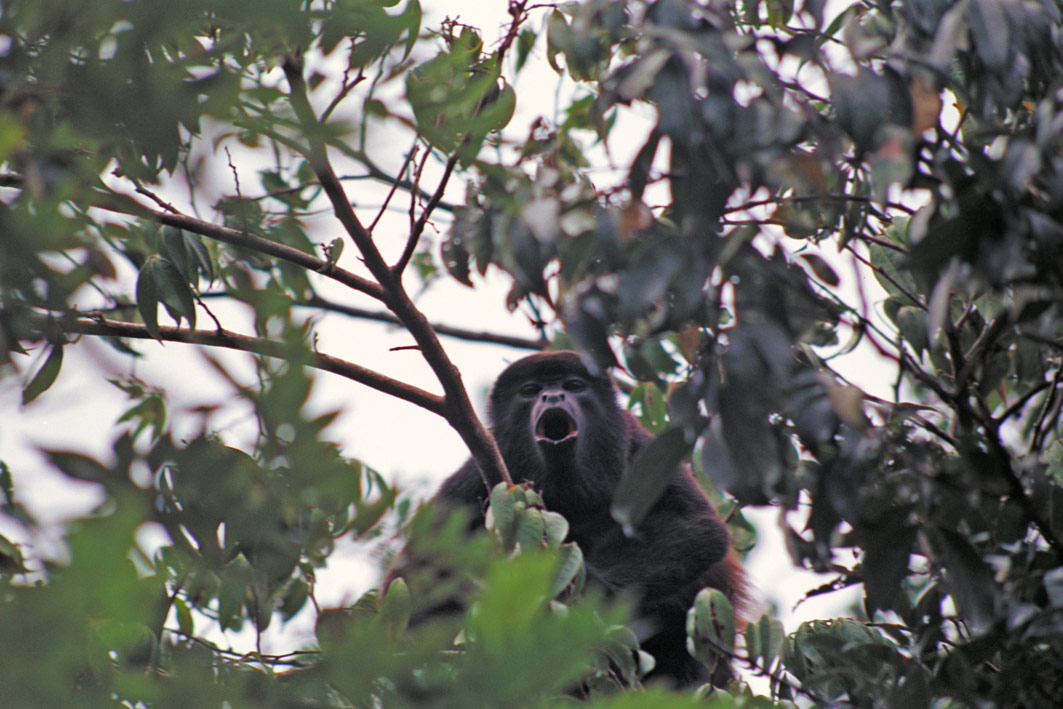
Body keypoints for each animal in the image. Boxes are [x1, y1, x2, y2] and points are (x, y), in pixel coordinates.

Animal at [403, 352, 748, 688]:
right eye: (530, 391)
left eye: (573, 386)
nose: (553, 395)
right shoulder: (474, 476)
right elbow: (419, 574)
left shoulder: (640, 446)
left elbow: (699, 526)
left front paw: (585, 584)